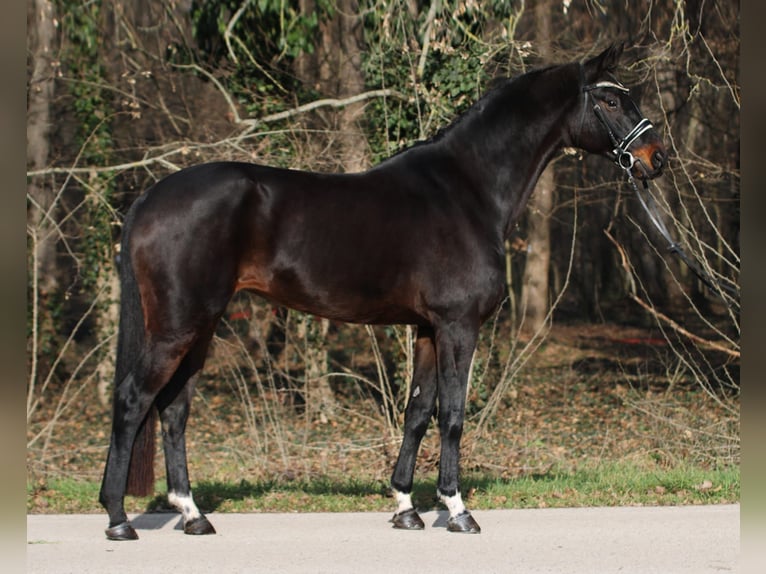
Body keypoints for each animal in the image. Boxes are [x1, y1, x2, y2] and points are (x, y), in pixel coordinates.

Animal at [100, 44, 664, 540]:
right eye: (611, 100)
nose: (655, 158)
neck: (467, 190)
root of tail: (149, 198)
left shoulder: (427, 329)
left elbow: (416, 413)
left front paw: (406, 507)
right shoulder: (458, 326)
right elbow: (452, 414)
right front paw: (457, 510)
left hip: (200, 328)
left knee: (173, 410)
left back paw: (193, 514)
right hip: (178, 327)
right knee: (132, 400)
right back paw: (119, 519)